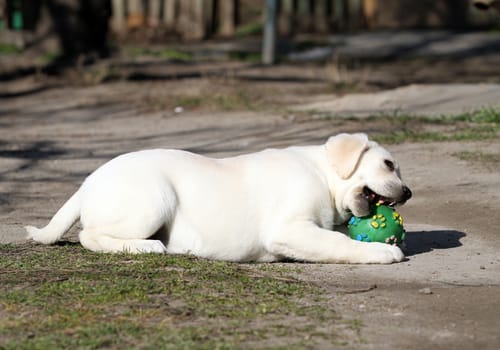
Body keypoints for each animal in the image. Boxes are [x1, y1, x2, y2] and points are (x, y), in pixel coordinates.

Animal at [25, 133, 412, 264]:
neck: (322, 173)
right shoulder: (288, 229)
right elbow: (340, 242)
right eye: (388, 164)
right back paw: (146, 247)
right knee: (89, 235)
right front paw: (384, 252)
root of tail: (86, 183)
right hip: (154, 198)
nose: (408, 193)